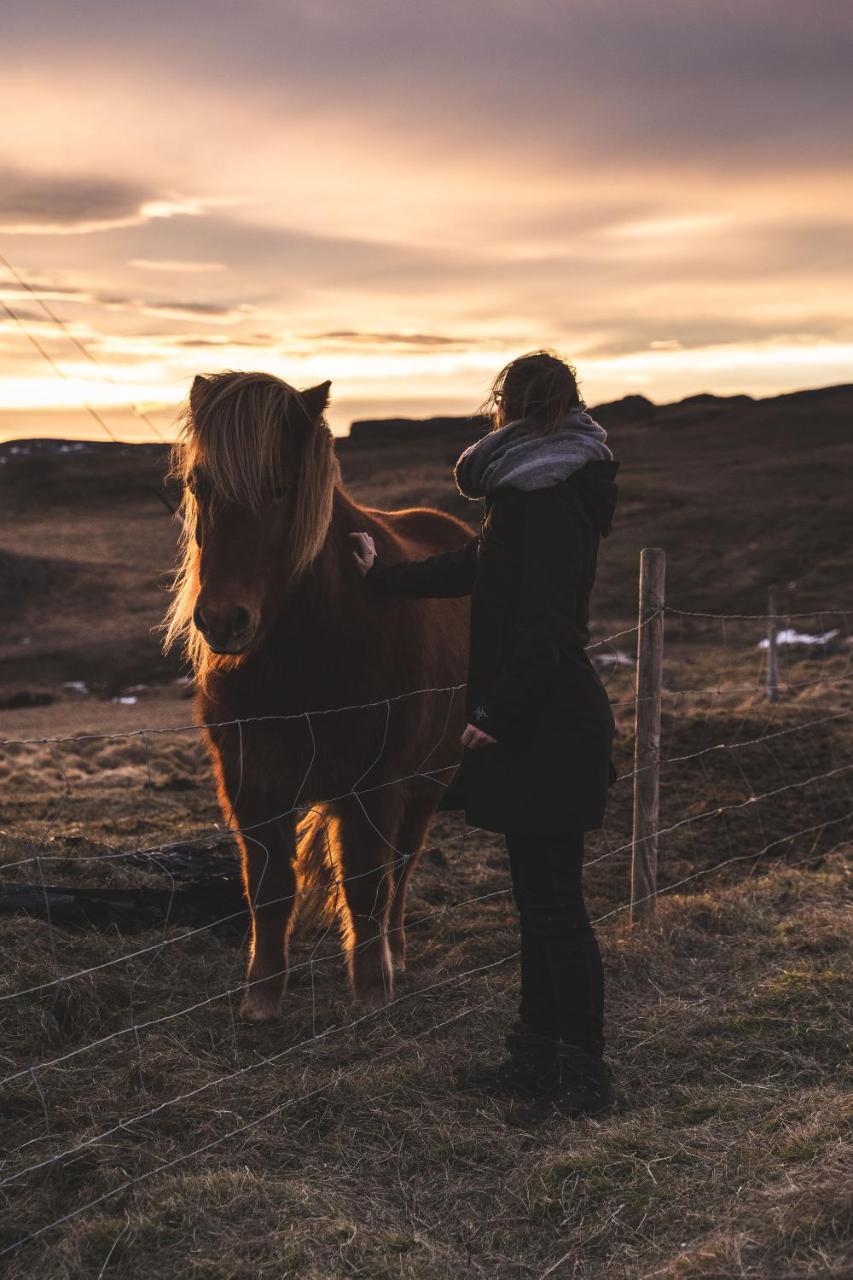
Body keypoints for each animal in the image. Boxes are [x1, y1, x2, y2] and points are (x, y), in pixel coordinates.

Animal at [166, 371, 471, 1018]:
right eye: (198, 485)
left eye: (280, 488)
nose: (223, 620)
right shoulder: (249, 782)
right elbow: (269, 888)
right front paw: (262, 994)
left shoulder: (375, 783)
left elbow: (366, 883)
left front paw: (373, 986)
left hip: (429, 778)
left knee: (402, 865)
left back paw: (395, 952)